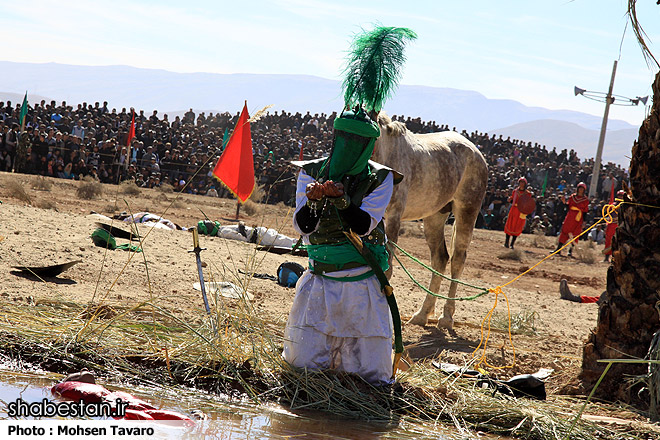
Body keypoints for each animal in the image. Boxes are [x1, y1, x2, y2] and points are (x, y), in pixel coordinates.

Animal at [374, 113, 488, 330]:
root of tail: (476, 152)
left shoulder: (393, 216)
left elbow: (387, 269)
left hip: (467, 211)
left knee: (457, 260)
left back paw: (446, 317)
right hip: (435, 217)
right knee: (440, 259)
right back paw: (422, 314)